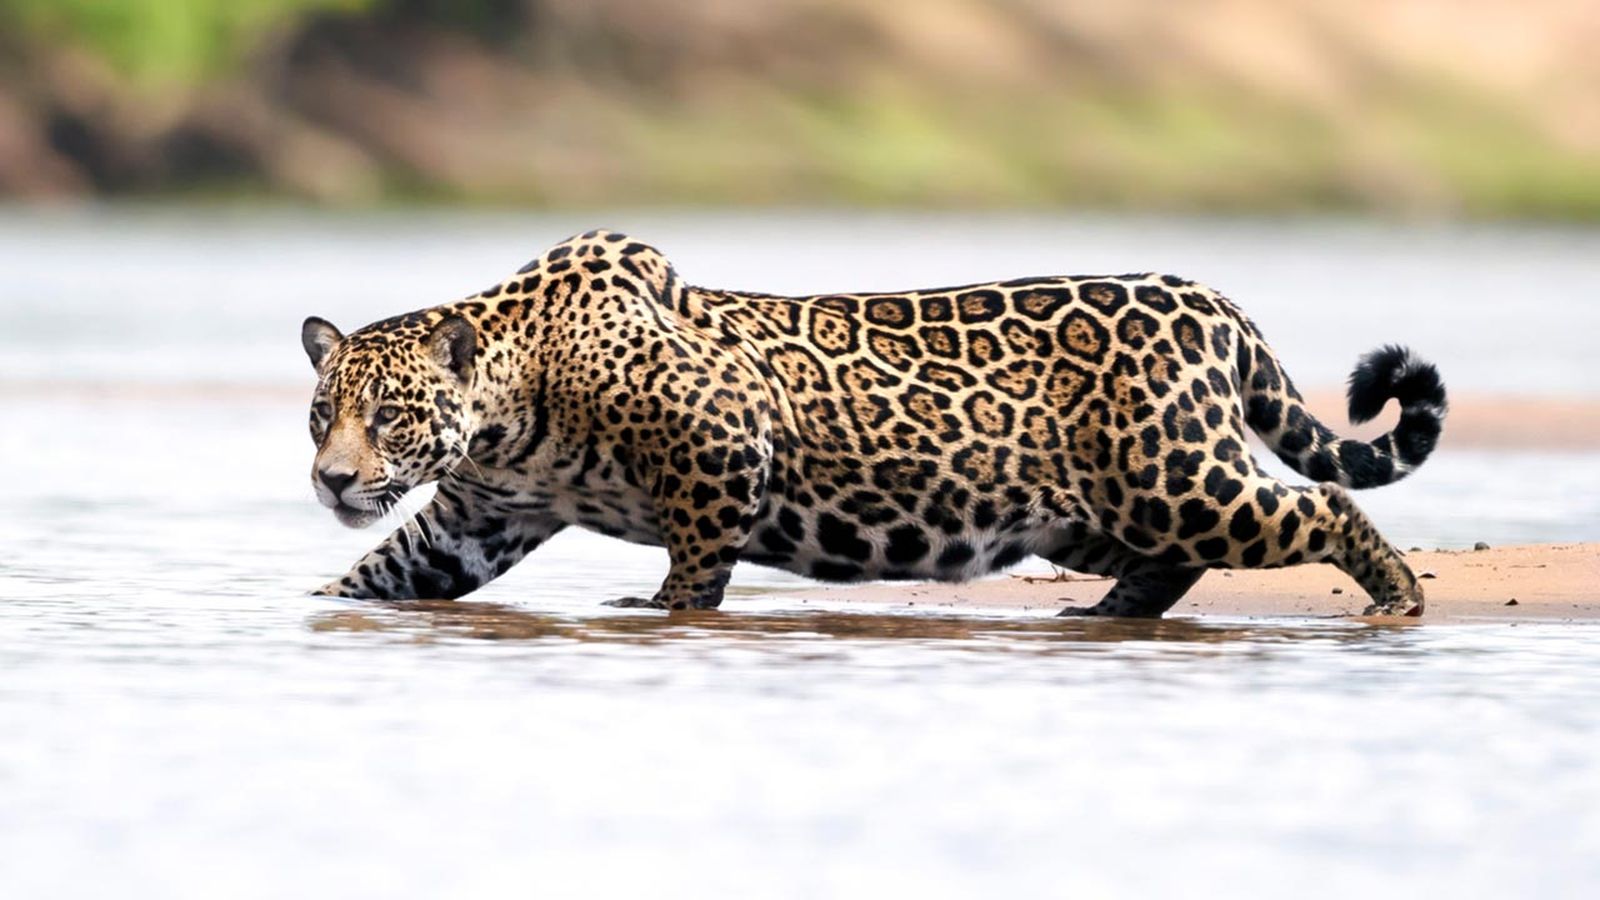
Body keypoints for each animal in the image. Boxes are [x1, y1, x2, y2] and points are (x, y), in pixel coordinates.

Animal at [301, 229, 1446, 618]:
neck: (513, 393)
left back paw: (1398, 598)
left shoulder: (721, 443)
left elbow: (696, 562)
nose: (332, 479)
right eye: (322, 416)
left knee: (1321, 503)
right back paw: (1106, 612)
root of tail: (1212, 299)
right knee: (1174, 560)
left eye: (389, 415)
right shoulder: (477, 519)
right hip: (1093, 508)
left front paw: (661, 609)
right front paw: (313, 603)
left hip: (1173, 479)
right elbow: (385, 569)